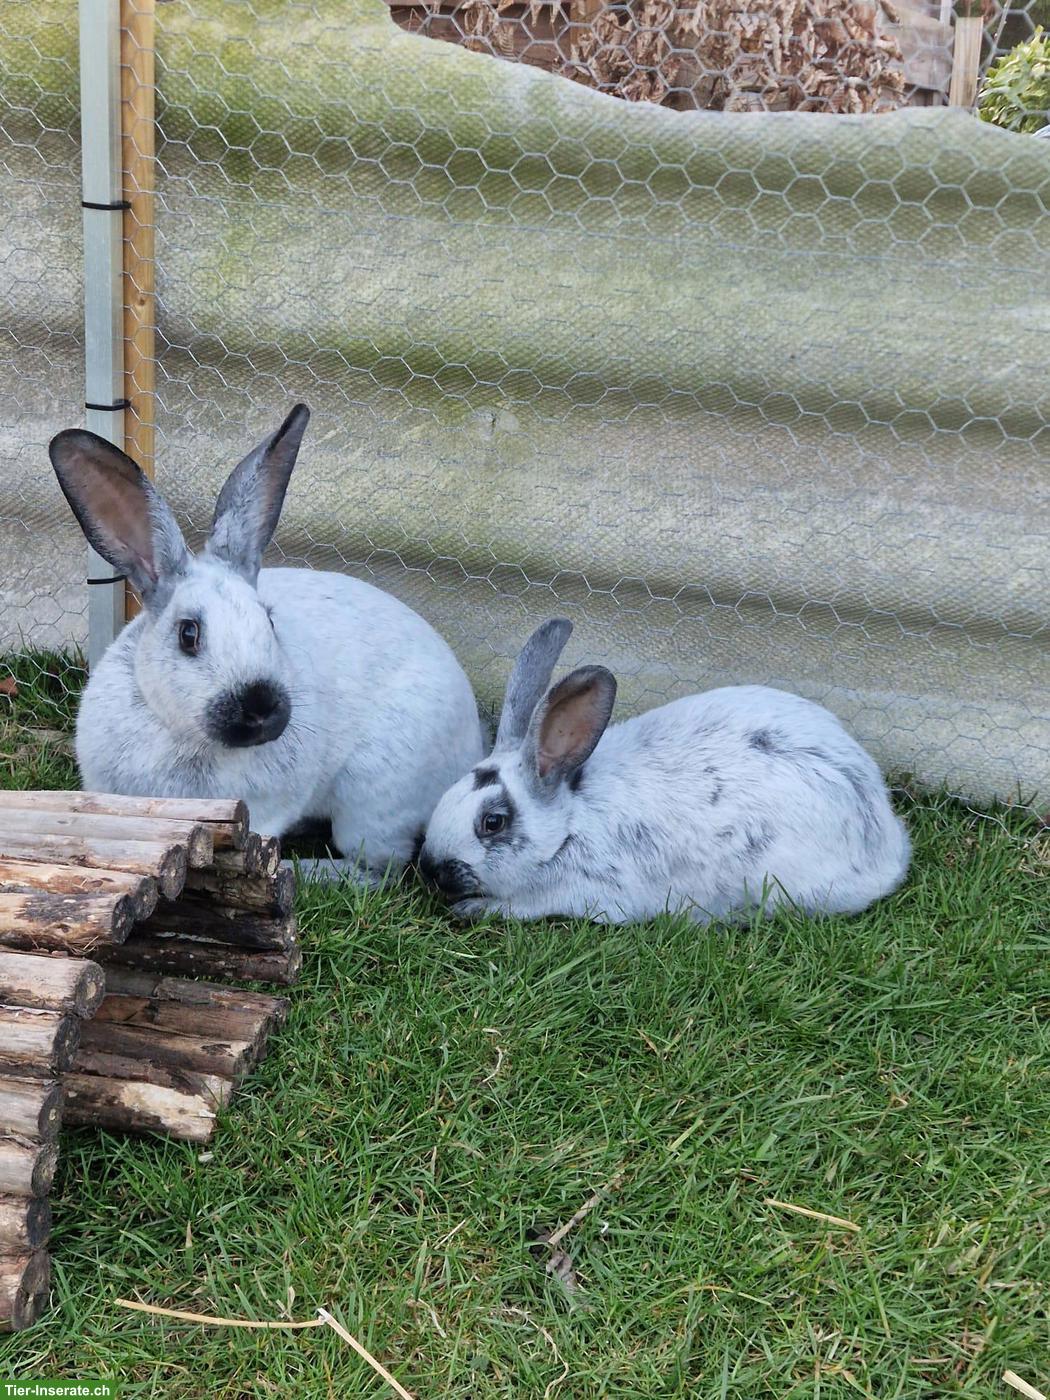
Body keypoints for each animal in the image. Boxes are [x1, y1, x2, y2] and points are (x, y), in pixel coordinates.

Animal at [49, 404, 485, 880]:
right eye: (188, 634)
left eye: (269, 621)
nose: (260, 707)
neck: (189, 737)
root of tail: (471, 750)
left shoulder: (265, 810)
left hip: (373, 799)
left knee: (376, 870)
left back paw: (307, 868)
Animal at [419, 618, 910, 924]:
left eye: (492, 822)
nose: (428, 869)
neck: (570, 824)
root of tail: (887, 850)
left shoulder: (589, 893)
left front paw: (473, 911)